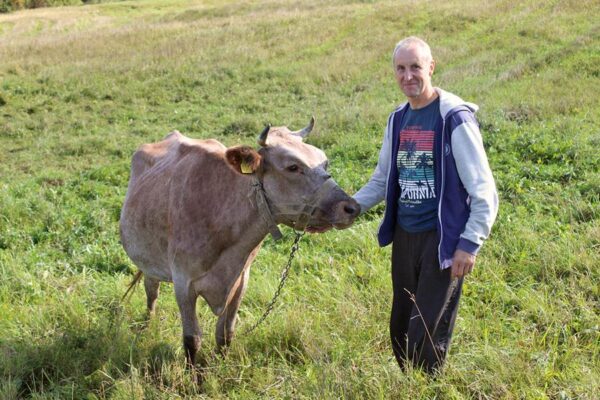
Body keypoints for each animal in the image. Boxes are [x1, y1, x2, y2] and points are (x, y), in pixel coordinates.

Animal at [119, 117, 358, 368]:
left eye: (325, 162)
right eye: (293, 167)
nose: (351, 207)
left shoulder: (241, 279)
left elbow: (225, 334)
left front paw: (222, 367)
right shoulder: (183, 283)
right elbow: (192, 340)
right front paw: (193, 377)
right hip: (148, 260)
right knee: (151, 290)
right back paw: (147, 324)